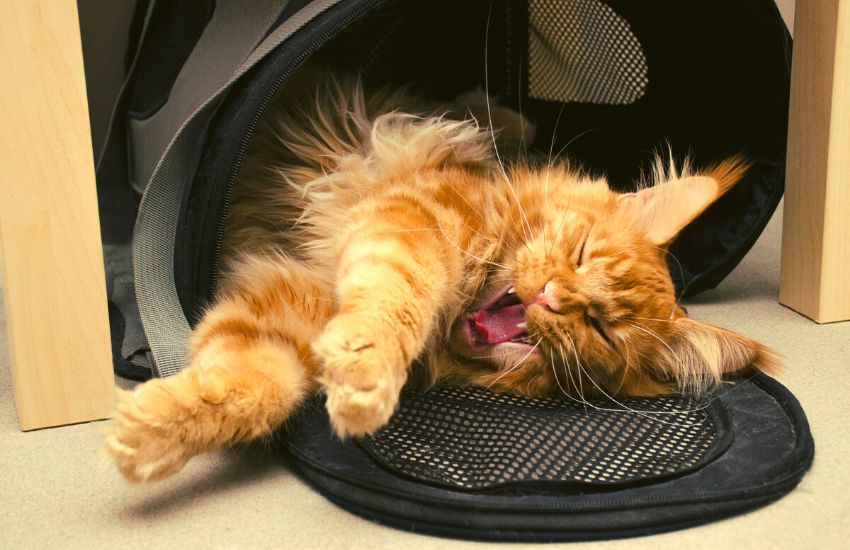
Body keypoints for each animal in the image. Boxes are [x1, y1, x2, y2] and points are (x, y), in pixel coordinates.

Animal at [102, 74, 772, 484]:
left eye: (599, 328)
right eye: (581, 254)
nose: (554, 296)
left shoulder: (286, 307)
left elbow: (252, 383)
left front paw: (145, 437)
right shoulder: (415, 220)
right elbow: (395, 300)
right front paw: (368, 373)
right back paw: (506, 117)